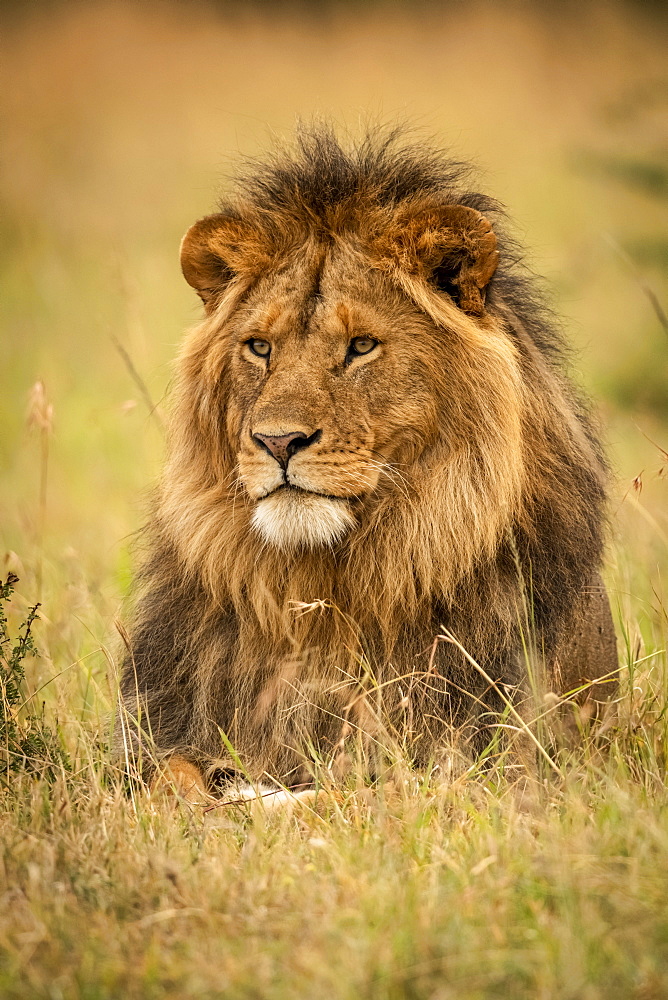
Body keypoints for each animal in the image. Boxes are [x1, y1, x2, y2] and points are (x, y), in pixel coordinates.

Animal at [117, 129, 620, 800]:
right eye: (259, 347)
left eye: (361, 346)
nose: (278, 441)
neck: (326, 594)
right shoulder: (156, 732)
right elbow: (169, 782)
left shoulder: (497, 763)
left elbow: (344, 794)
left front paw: (258, 798)